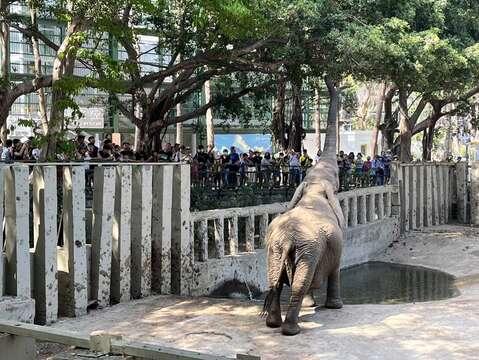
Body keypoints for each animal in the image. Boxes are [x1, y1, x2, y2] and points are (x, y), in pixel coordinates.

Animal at [258, 77, 344, 336]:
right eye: (336, 178)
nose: (331, 79)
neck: (313, 188)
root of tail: (287, 240)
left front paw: (312, 305)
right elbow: (336, 268)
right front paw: (335, 307)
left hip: (276, 250)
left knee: (275, 281)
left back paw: (273, 324)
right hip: (308, 251)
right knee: (298, 284)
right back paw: (291, 330)